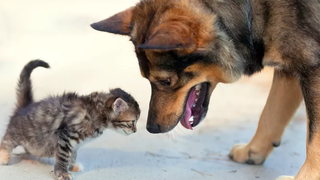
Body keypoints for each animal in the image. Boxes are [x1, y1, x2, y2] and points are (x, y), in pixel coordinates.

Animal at [0, 60, 141, 179]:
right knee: (7, 140)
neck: (96, 112)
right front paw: (62, 173)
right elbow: (63, 157)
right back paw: (3, 156)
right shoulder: (65, 135)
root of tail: (25, 106)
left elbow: (72, 154)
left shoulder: (74, 142)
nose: (135, 131)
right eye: (132, 122)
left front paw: (72, 166)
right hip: (18, 132)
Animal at [90, 0, 320, 179]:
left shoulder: (312, 70)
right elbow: (270, 114)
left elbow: (313, 139)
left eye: (165, 81)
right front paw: (253, 151)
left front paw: (305, 177)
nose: (151, 128)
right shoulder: (289, 68)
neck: (249, 12)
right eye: (145, 79)